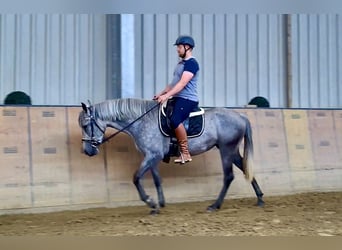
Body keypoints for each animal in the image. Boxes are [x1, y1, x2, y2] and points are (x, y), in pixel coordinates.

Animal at [78, 98, 264, 214]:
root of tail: (240, 116)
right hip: (231, 151)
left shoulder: (152, 155)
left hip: (226, 150)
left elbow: (136, 178)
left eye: (86, 125)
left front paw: (150, 202)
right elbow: (156, 179)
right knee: (246, 169)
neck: (141, 121)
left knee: (228, 176)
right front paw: (159, 205)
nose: (87, 151)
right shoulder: (152, 156)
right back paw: (260, 199)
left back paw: (214, 205)